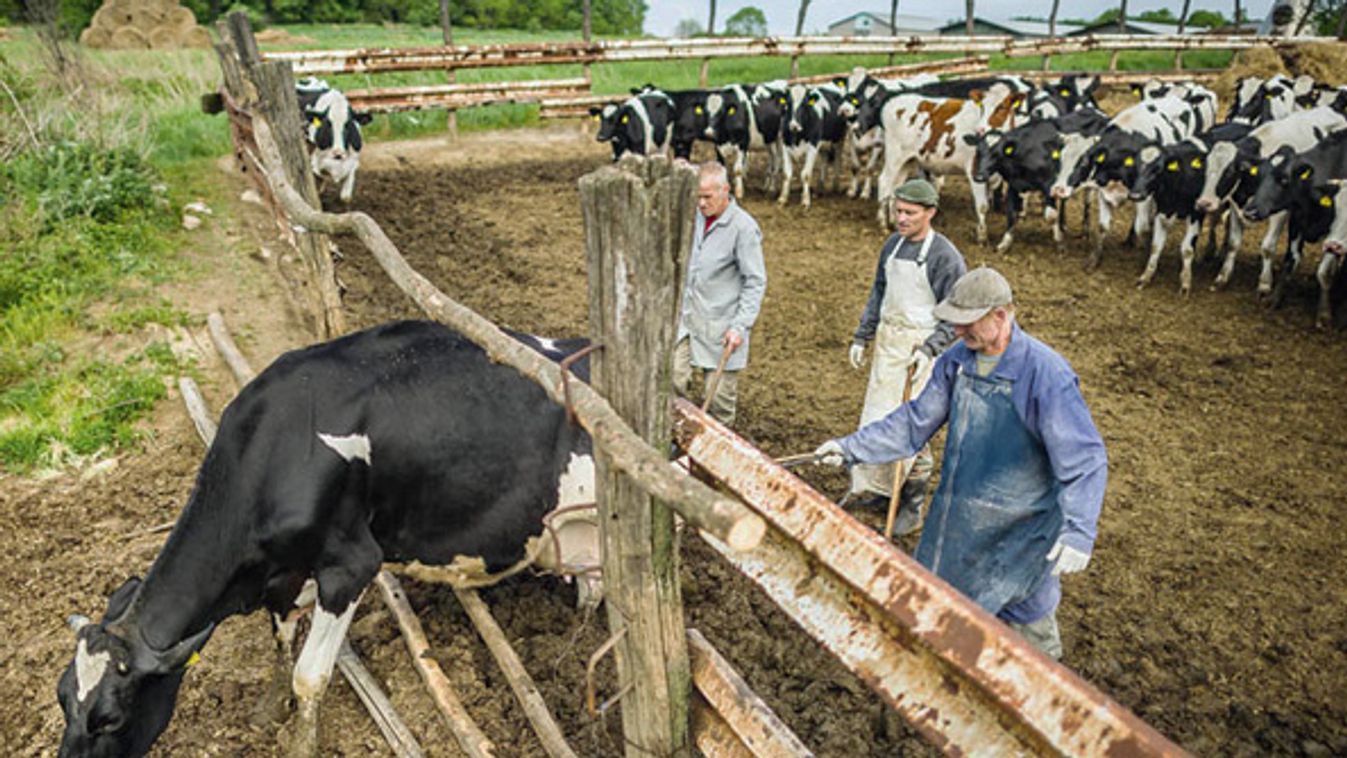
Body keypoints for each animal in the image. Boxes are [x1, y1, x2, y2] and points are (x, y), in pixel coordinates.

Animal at [56, 320, 595, 758]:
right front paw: (269, 709)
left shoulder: (350, 566)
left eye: (111, 720)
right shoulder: (286, 572)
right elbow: (280, 636)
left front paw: (300, 743)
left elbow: (310, 674)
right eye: (62, 696)